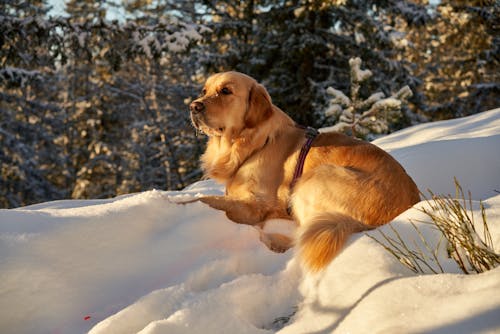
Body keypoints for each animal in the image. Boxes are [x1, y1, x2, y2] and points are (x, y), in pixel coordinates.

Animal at [189, 71, 420, 272]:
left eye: (225, 91)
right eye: (204, 90)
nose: (193, 106)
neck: (255, 143)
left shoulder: (255, 205)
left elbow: (206, 200)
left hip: (314, 179)